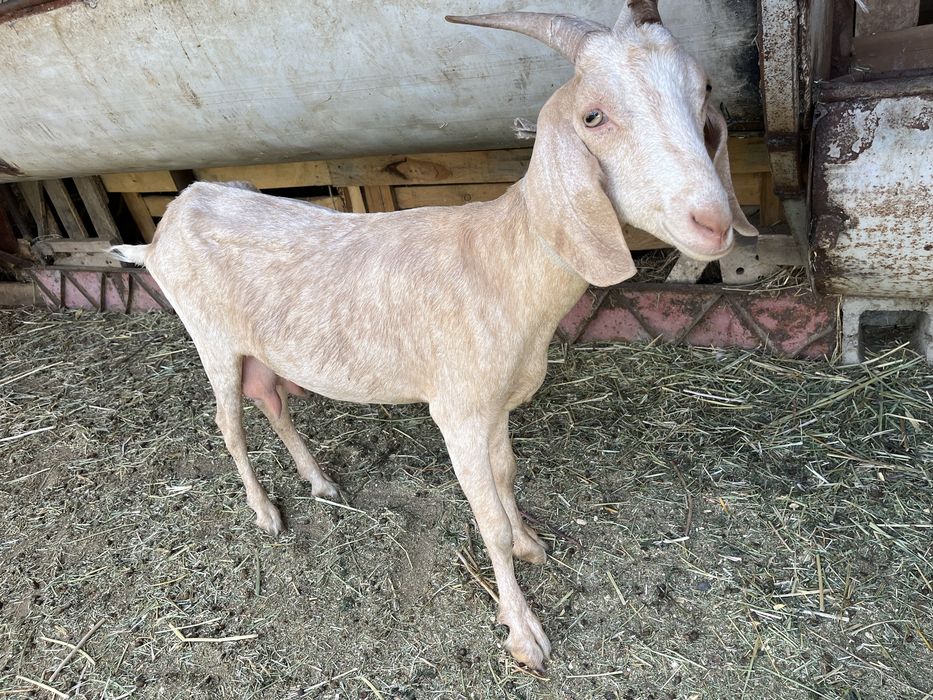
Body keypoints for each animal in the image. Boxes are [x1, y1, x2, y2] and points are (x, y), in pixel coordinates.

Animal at [111, 3, 756, 671]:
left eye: (704, 90)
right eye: (592, 116)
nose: (711, 222)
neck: (505, 259)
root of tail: (170, 221)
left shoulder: (495, 405)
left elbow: (506, 477)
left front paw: (529, 543)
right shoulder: (459, 411)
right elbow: (486, 520)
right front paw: (523, 632)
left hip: (259, 347)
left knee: (272, 400)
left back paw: (321, 482)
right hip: (211, 337)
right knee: (228, 421)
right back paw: (266, 511)